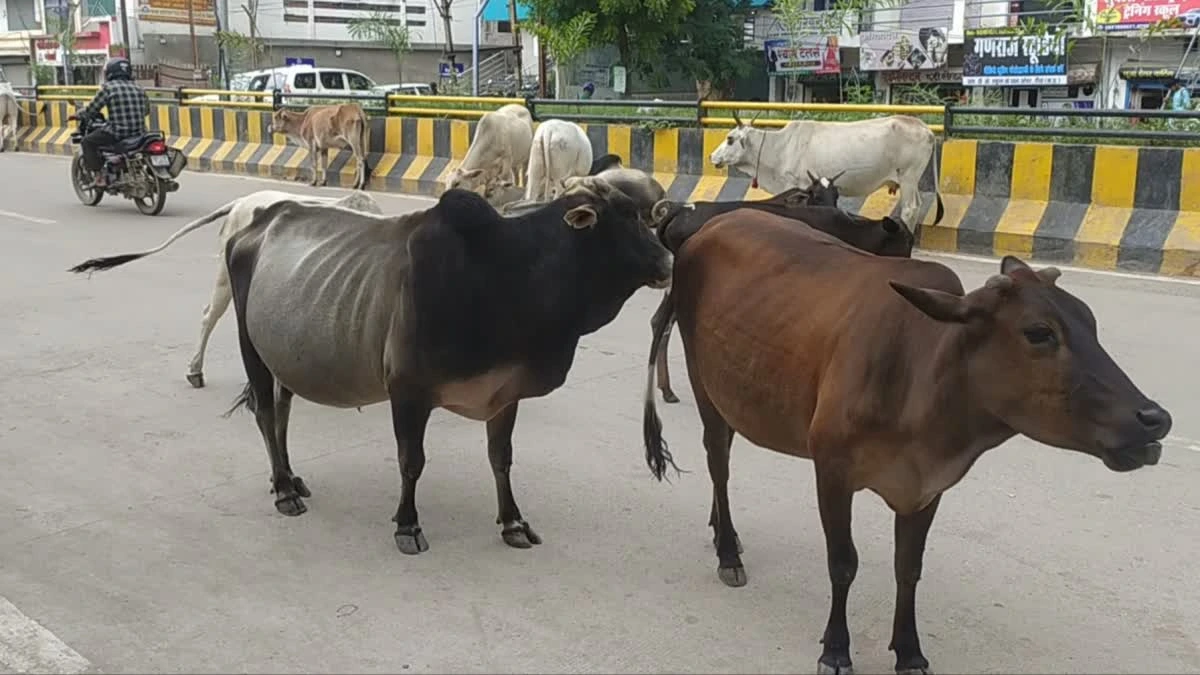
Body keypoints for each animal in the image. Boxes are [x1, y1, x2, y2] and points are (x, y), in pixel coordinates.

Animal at [648, 207, 1171, 667]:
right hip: (703, 382)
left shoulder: (927, 487)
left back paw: (723, 532)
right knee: (718, 462)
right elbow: (843, 563)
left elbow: (909, 569)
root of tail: (709, 226)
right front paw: (836, 650)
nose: (1155, 418)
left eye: (1092, 322)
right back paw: (728, 549)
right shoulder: (831, 470)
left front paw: (909, 652)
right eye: (1039, 332)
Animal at [705, 110, 940, 225]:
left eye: (730, 138)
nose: (711, 156)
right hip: (911, 180)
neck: (780, 146)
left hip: (908, 177)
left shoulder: (794, 184)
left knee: (910, 209)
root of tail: (926, 130)